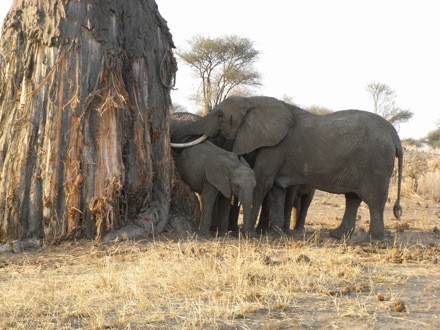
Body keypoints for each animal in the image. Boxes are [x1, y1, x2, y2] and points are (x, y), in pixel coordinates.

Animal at [171, 94, 402, 240]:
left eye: (220, 115)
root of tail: (395, 136)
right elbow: (276, 190)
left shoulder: (275, 147)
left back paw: (373, 240)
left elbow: (262, 184)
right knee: (352, 199)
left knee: (373, 200)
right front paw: (274, 235)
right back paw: (338, 236)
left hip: (376, 164)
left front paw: (249, 235)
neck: (253, 101)